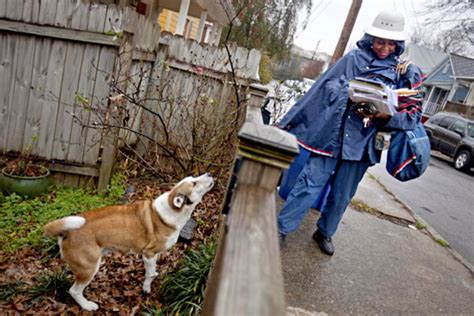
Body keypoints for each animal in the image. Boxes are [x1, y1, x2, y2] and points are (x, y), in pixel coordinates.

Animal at [43, 173, 214, 312]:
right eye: (194, 183)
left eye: (194, 179)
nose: (210, 173)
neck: (172, 209)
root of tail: (66, 231)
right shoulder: (148, 254)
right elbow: (149, 275)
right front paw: (146, 289)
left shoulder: (154, 256)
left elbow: (152, 271)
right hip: (89, 268)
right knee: (74, 291)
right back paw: (87, 306)